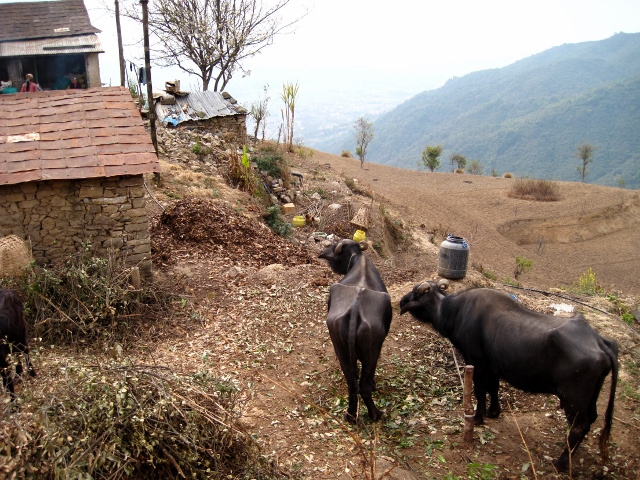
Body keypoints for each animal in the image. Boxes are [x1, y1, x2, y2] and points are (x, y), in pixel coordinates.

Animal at [319, 239, 392, 423]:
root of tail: (355, 309)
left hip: (340, 348)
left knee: (352, 384)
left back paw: (350, 415)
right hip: (372, 350)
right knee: (363, 387)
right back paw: (376, 413)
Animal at [399, 279, 618, 471]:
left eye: (416, 293)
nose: (401, 302)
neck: (453, 311)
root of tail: (600, 342)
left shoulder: (476, 362)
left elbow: (480, 390)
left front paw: (478, 416)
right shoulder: (493, 366)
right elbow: (494, 388)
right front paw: (494, 411)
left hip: (573, 400)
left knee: (579, 427)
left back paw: (561, 463)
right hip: (590, 397)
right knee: (591, 420)